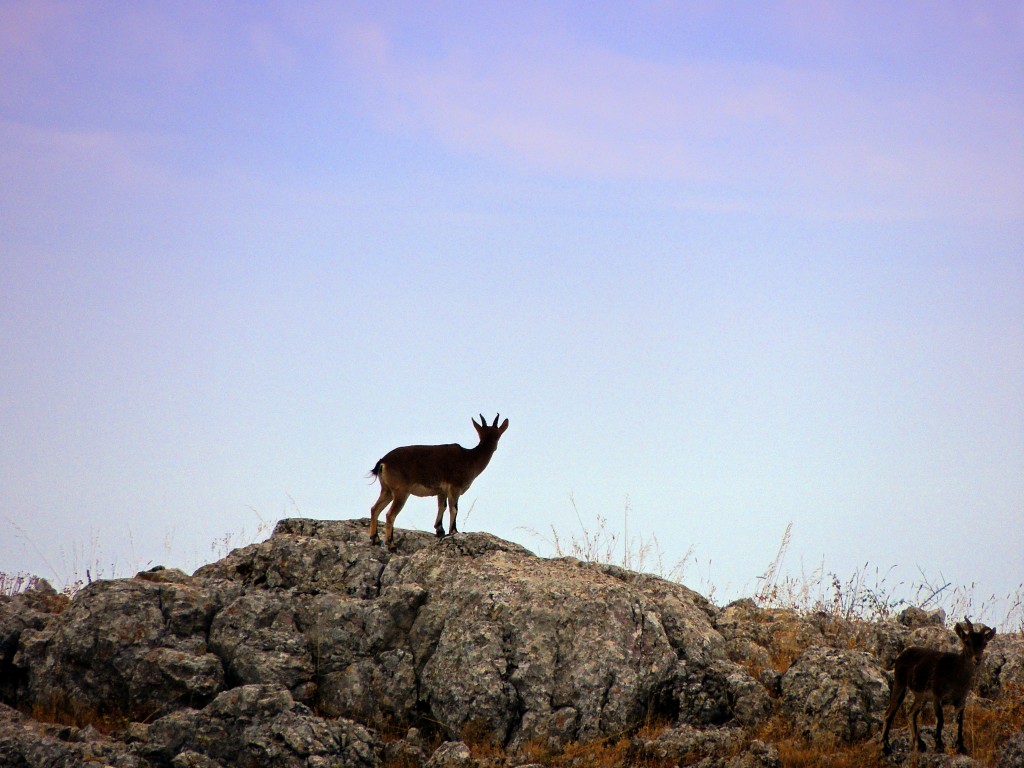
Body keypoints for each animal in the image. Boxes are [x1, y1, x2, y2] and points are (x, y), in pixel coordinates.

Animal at [370, 417, 509, 548]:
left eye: (496, 435)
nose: (494, 447)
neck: (470, 458)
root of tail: (383, 462)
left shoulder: (442, 491)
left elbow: (442, 506)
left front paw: (440, 530)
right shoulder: (454, 487)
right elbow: (454, 508)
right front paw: (453, 531)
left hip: (387, 490)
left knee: (375, 509)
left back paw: (375, 539)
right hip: (401, 492)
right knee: (390, 514)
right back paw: (391, 545)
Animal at [880, 618, 991, 757]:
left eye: (985, 643)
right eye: (967, 641)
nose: (977, 659)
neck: (956, 675)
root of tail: (901, 655)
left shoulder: (961, 701)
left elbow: (959, 722)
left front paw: (961, 747)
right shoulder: (937, 696)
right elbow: (941, 720)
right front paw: (939, 746)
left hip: (921, 697)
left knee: (911, 713)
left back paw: (919, 744)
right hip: (900, 685)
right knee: (889, 713)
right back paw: (886, 747)